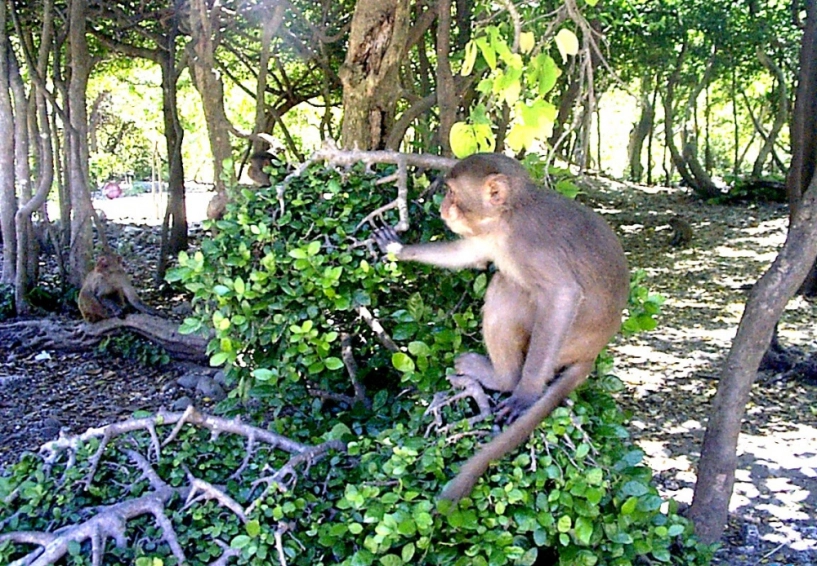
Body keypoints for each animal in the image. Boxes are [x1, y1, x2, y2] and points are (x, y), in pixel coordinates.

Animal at [372, 153, 628, 504]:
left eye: (452, 193)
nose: (443, 207)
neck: (506, 217)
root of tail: (593, 352)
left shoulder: (526, 242)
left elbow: (562, 294)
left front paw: (526, 393)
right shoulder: (488, 235)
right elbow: (467, 254)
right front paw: (398, 247)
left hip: (564, 342)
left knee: (508, 288)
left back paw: (503, 379)